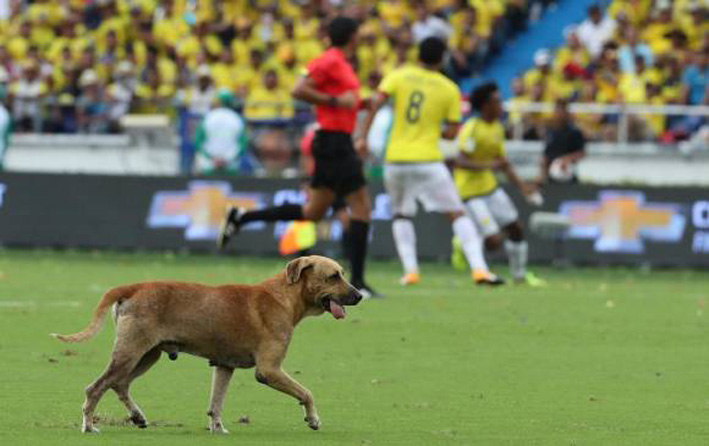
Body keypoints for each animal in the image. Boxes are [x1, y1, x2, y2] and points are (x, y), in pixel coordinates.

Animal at [51, 256, 360, 434]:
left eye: (342, 273)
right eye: (334, 276)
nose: (359, 295)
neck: (284, 296)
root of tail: (134, 287)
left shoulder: (224, 365)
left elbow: (216, 403)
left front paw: (217, 427)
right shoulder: (269, 370)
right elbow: (306, 393)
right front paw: (313, 419)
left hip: (146, 355)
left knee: (119, 384)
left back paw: (137, 417)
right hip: (131, 352)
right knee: (96, 388)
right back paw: (89, 426)